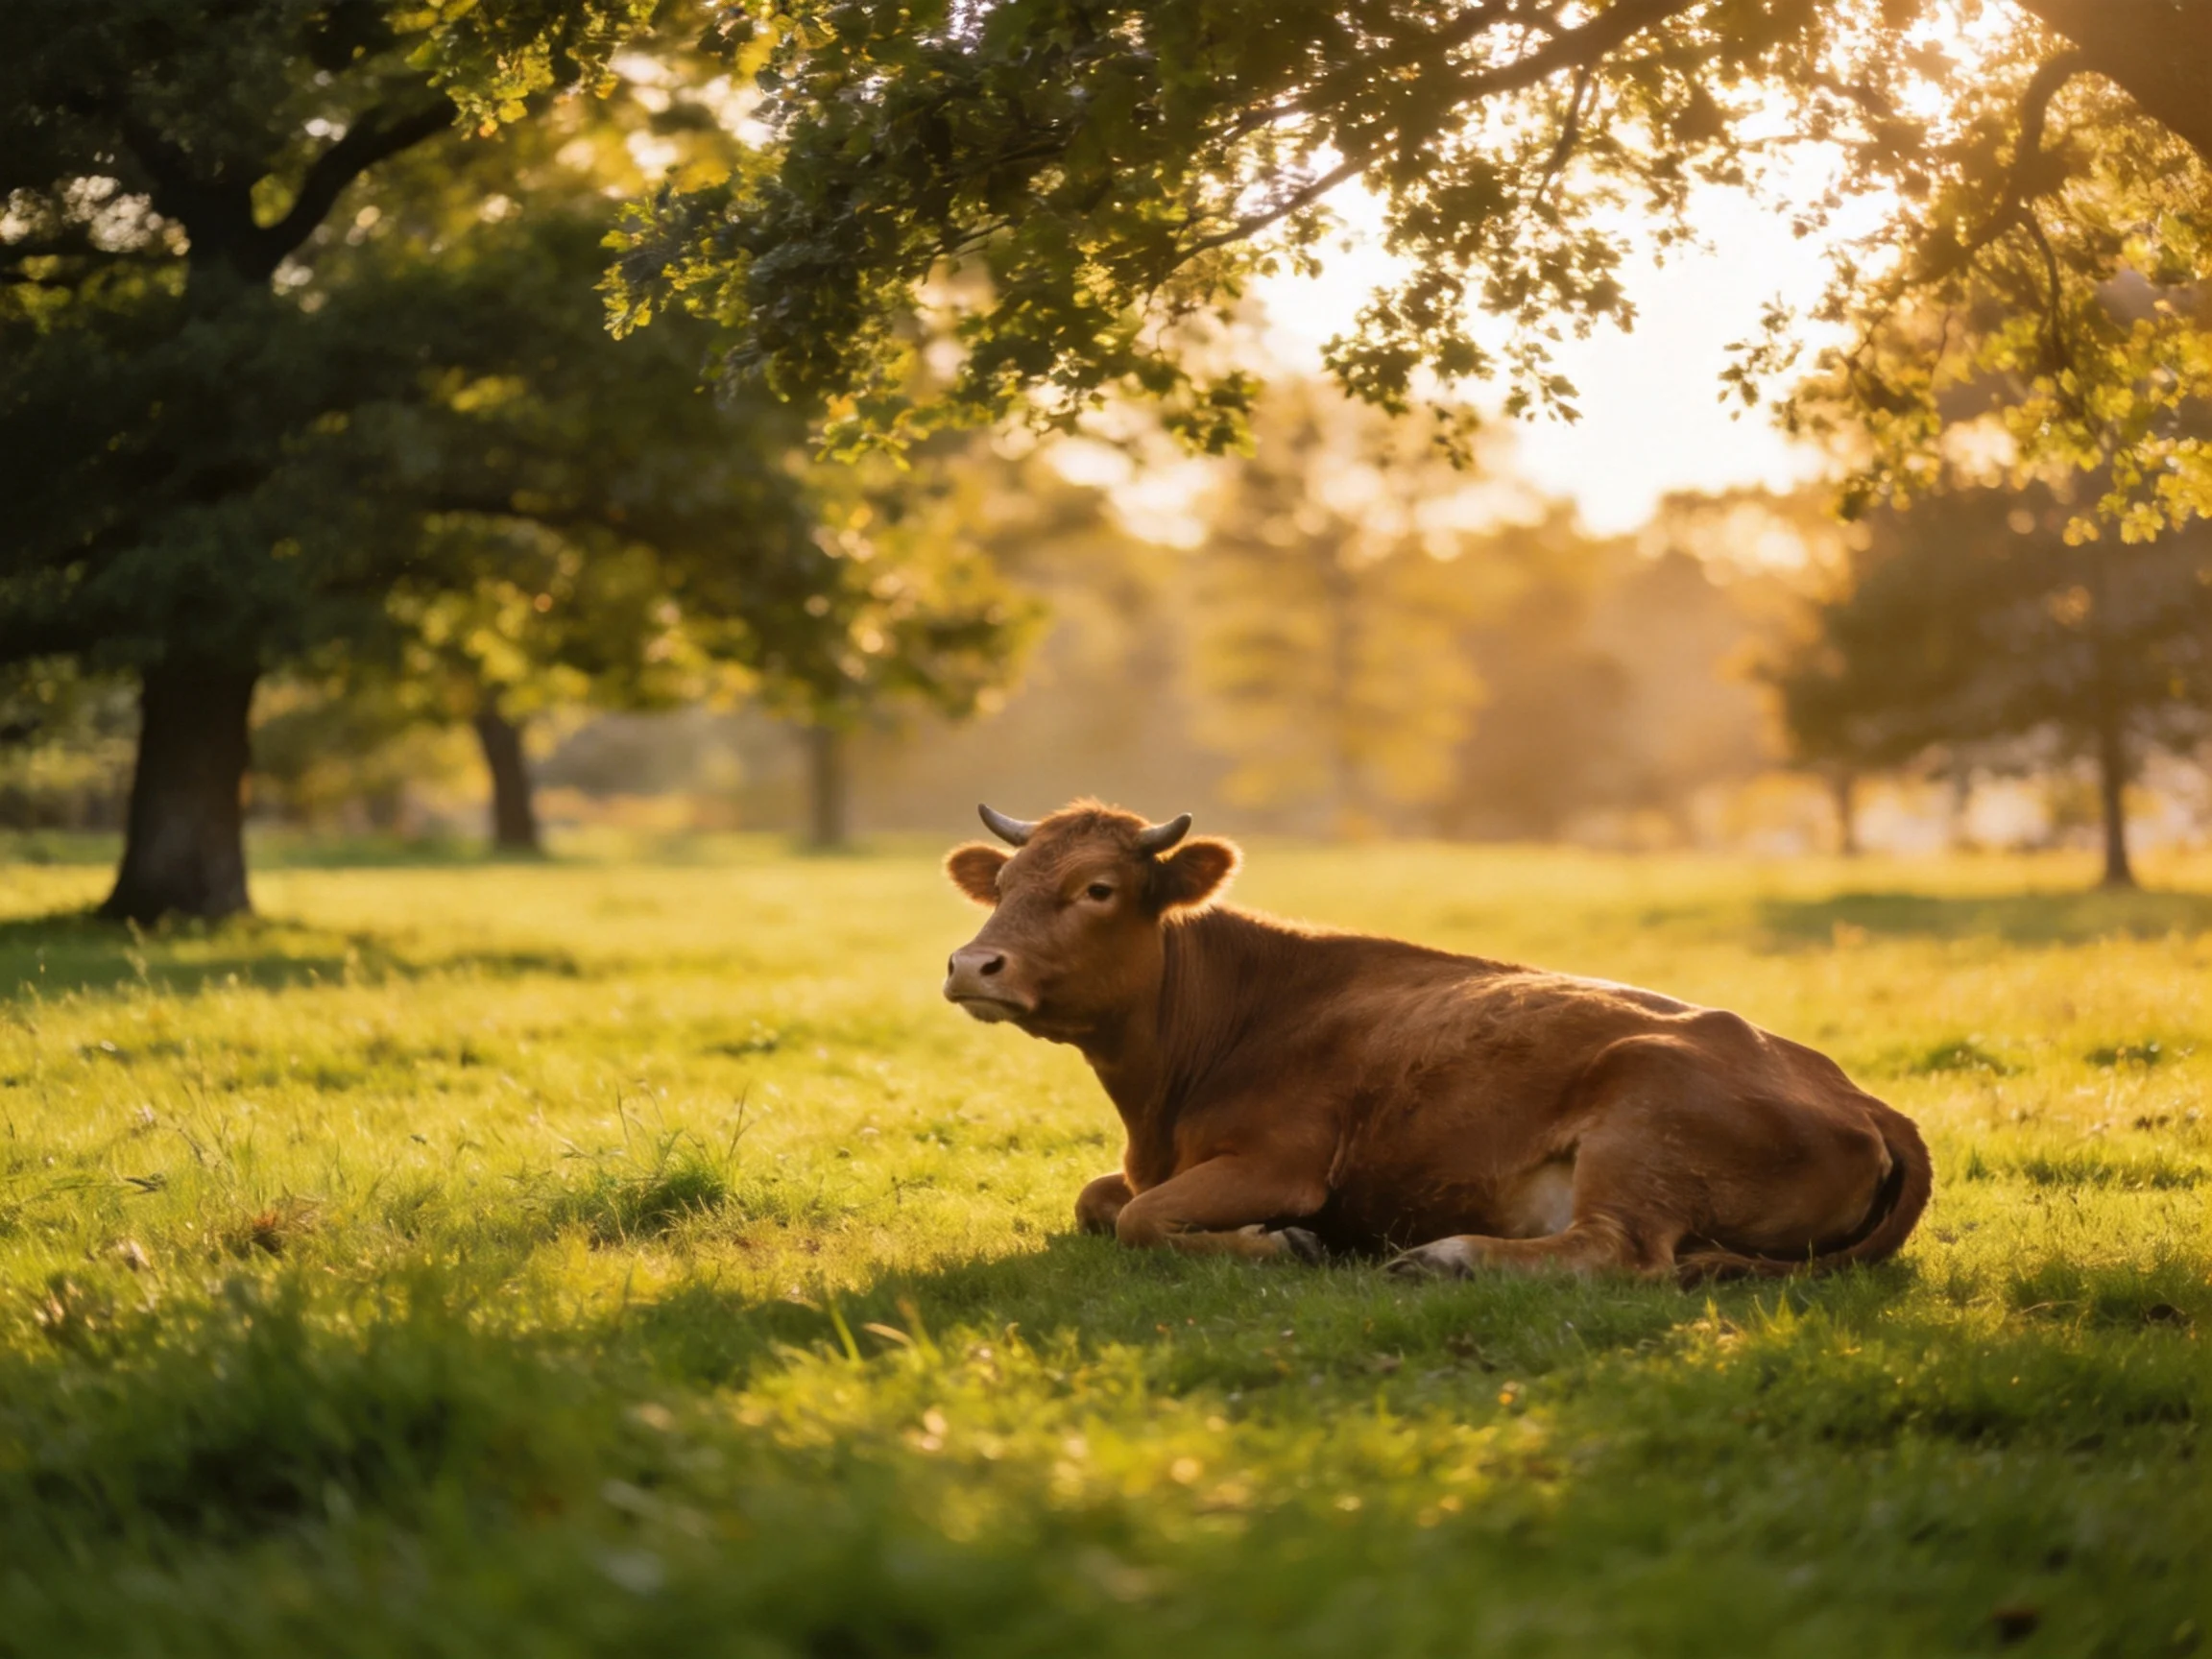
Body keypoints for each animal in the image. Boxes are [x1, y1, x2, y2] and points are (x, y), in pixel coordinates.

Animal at [940, 801, 1931, 1284]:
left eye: (1097, 889)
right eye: (1007, 883)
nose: (970, 963)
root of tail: (1861, 1096)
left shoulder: (1284, 1161)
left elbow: (1139, 1218)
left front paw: (1285, 1242)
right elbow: (1099, 1199)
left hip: (1644, 1121)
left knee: (1620, 1253)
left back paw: (1448, 1257)